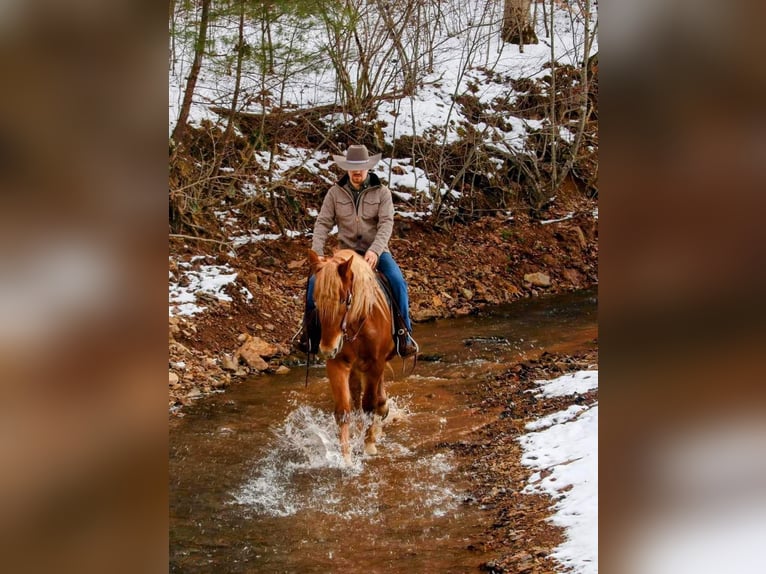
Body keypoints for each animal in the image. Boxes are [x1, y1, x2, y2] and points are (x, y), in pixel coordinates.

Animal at [308, 250, 396, 466]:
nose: (327, 349)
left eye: (343, 300)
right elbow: (344, 410)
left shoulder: (375, 364)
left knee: (375, 398)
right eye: (316, 300)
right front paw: (346, 457)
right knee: (356, 398)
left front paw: (369, 445)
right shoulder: (338, 364)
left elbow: (370, 404)